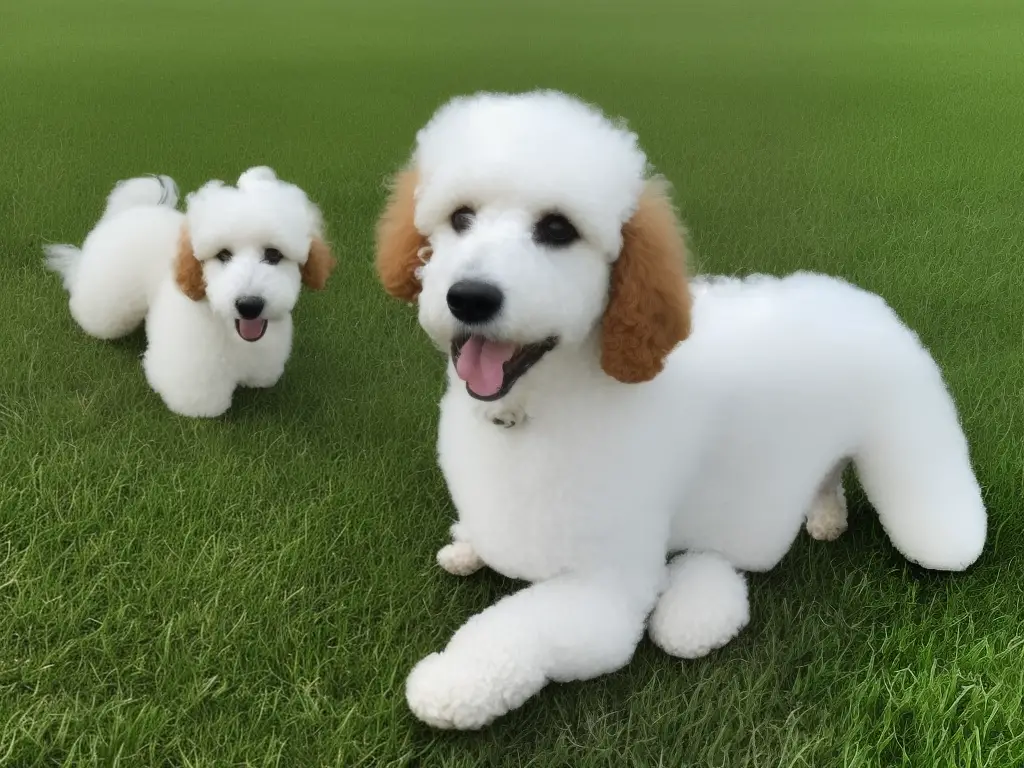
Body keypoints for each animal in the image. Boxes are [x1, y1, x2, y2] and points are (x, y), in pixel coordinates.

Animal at [378, 88, 991, 729]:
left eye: (557, 229)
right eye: (460, 218)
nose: (469, 297)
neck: (540, 407)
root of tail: (862, 298)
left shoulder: (606, 590)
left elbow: (513, 630)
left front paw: (450, 682)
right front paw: (467, 546)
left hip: (914, 442)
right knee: (826, 471)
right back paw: (826, 517)